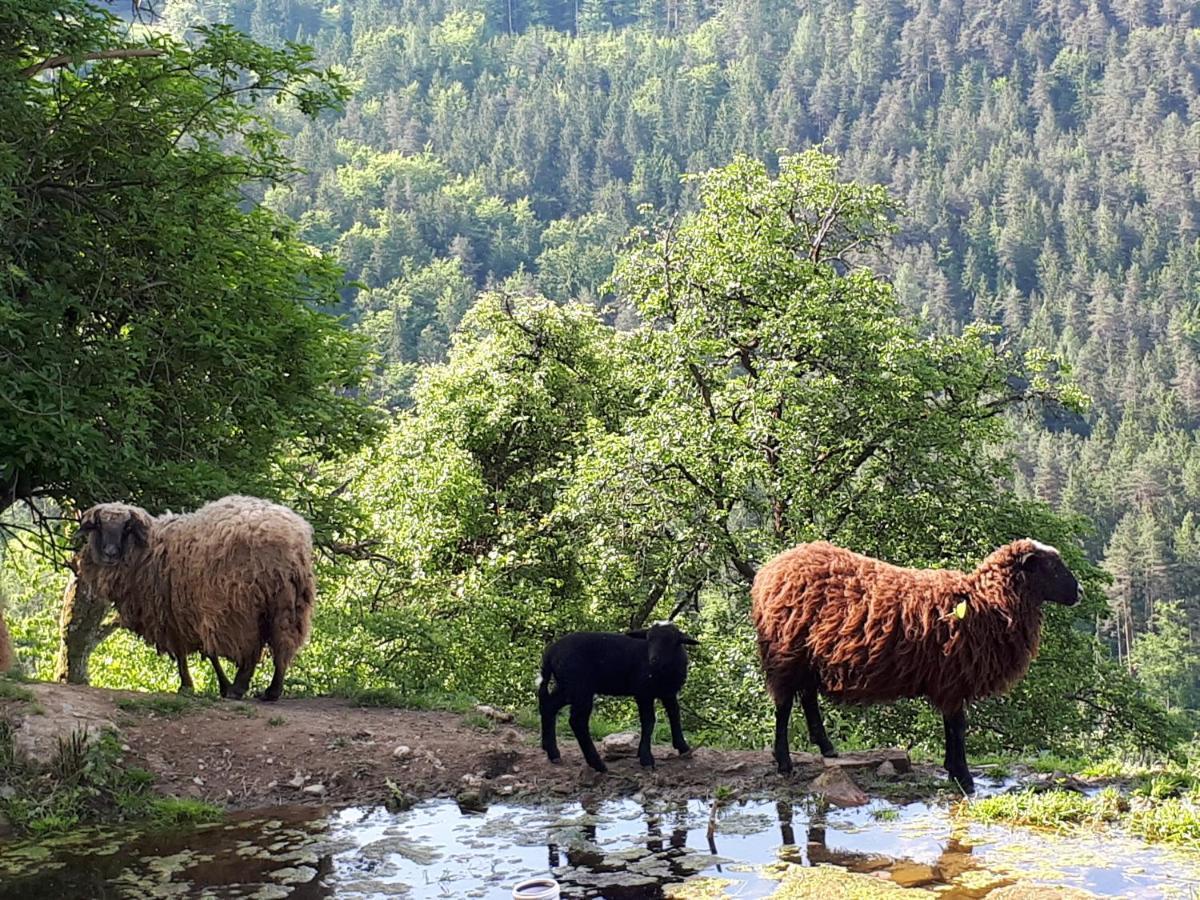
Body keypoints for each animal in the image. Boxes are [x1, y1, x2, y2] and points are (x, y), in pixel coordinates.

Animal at [75, 496, 316, 700]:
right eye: (99, 526)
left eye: (126, 528)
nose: (110, 553)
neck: (147, 550)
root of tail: (287, 543)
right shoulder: (181, 614)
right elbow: (194, 653)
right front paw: (196, 685)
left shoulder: (183, 612)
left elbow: (200, 653)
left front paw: (197, 685)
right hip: (288, 604)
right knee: (283, 646)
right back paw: (272, 691)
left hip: (241, 606)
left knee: (251, 650)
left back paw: (238, 688)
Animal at [540, 619, 700, 777]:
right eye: (649, 639)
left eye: (671, 641)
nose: (653, 660)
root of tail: (551, 652)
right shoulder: (643, 692)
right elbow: (649, 722)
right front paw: (646, 758)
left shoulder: (668, 692)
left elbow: (674, 715)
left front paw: (683, 748)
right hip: (579, 687)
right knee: (577, 721)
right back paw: (597, 764)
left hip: (566, 687)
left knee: (548, 706)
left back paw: (552, 753)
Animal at [748, 540, 1080, 792]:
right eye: (1052, 567)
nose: (1080, 593)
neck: (986, 605)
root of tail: (769, 570)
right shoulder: (953, 678)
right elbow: (958, 727)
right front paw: (964, 777)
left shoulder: (949, 681)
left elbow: (951, 726)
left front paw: (952, 769)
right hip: (785, 652)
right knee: (784, 706)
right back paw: (784, 762)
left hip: (808, 657)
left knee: (807, 698)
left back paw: (826, 746)